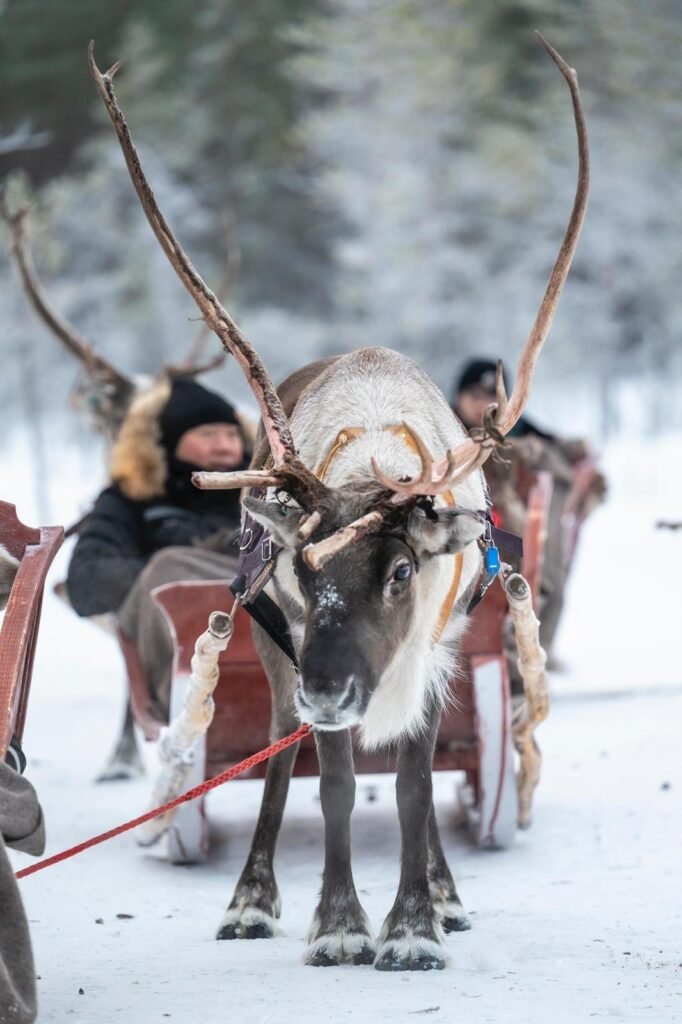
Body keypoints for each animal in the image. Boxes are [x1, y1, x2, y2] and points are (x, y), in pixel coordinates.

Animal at [89, 31, 588, 970]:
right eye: (297, 567)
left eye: (400, 572)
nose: (329, 688)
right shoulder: (297, 646)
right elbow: (335, 780)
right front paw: (338, 924)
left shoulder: (429, 647)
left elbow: (417, 781)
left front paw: (417, 925)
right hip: (275, 653)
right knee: (283, 760)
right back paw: (252, 900)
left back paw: (446, 893)